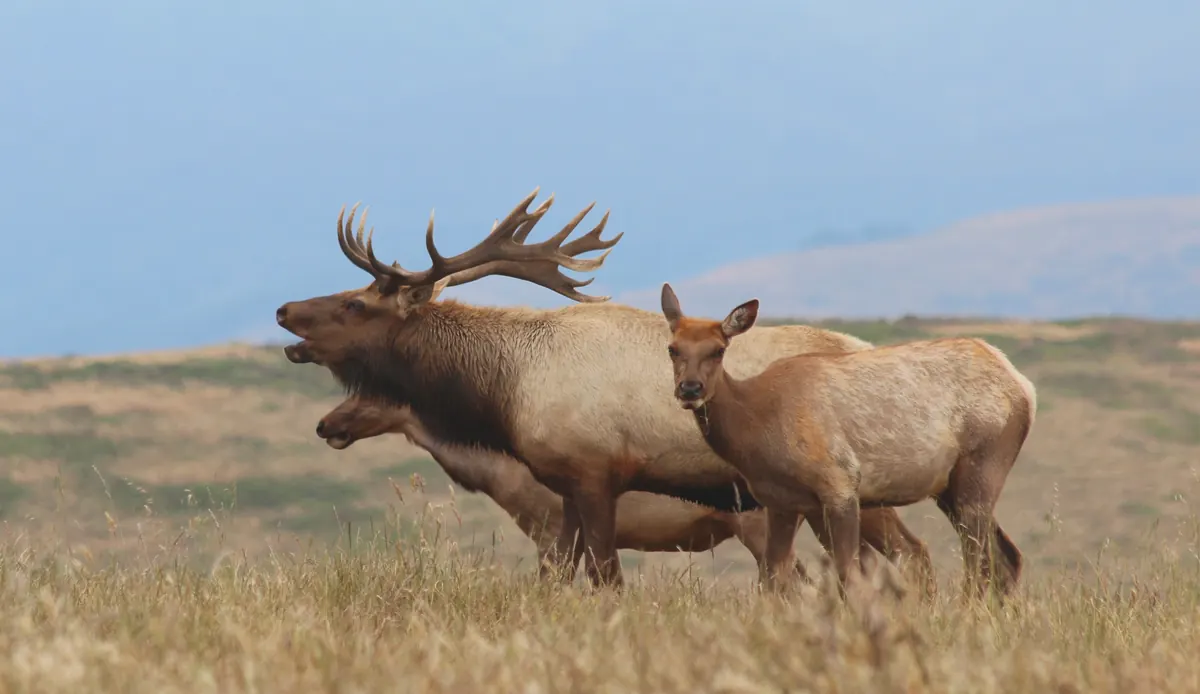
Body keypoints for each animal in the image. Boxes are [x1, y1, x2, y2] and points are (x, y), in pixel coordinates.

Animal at [659, 283, 1036, 599]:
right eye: (673, 348)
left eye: (718, 350)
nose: (690, 389)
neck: (757, 431)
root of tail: (1023, 386)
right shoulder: (781, 502)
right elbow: (773, 579)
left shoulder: (840, 485)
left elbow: (848, 576)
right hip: (948, 487)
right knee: (1006, 555)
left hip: (983, 465)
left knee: (978, 559)